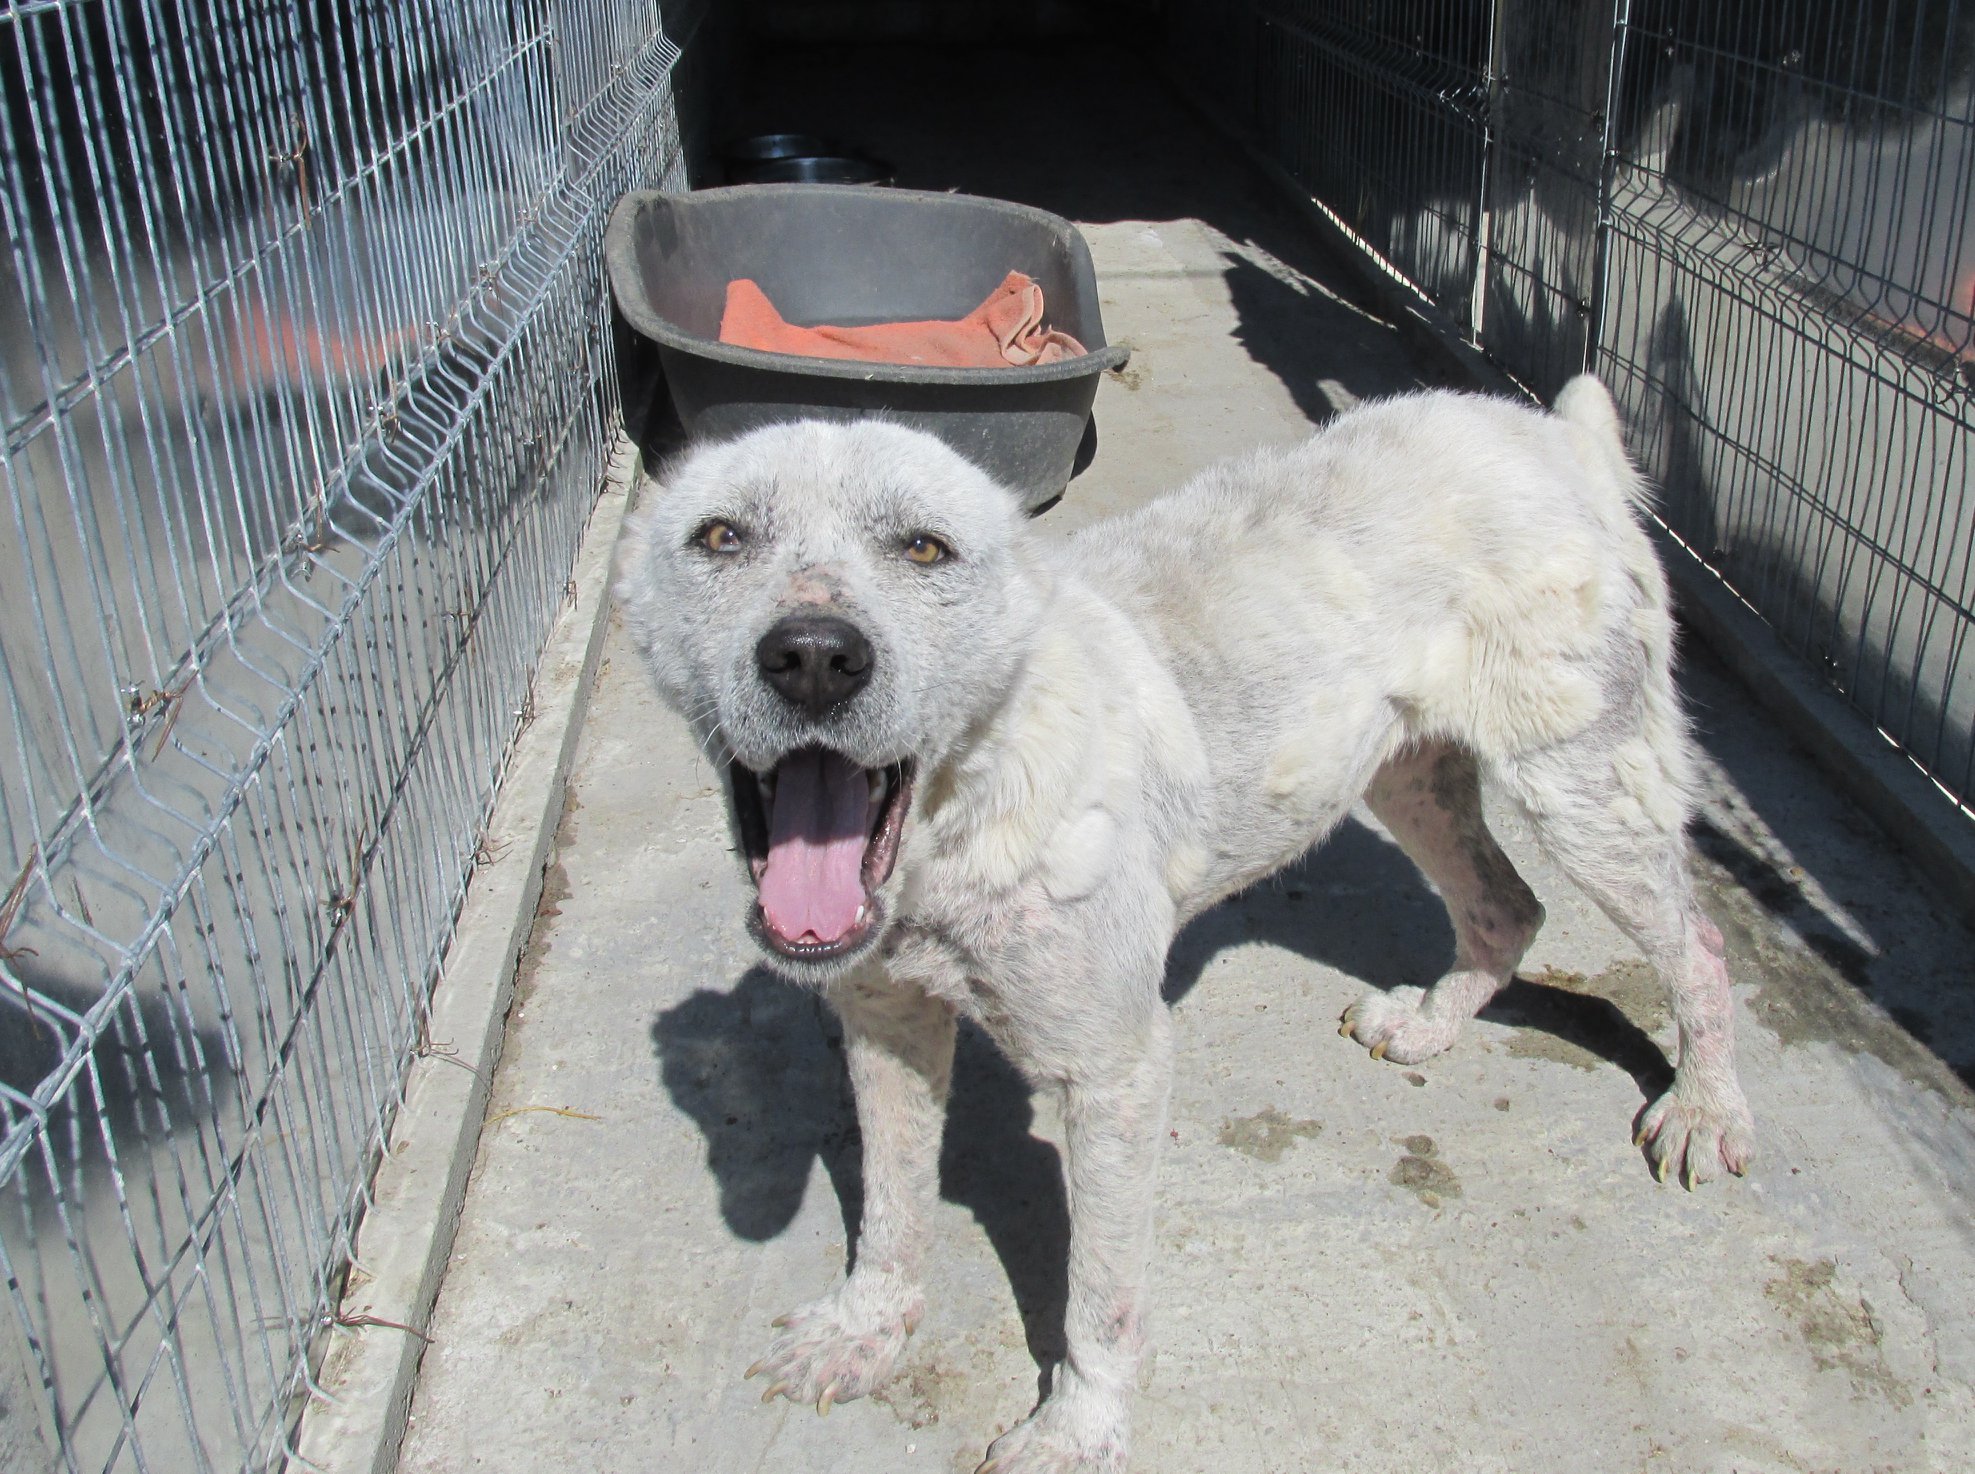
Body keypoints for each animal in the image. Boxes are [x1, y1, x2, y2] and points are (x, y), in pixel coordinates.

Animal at [614, 377, 1754, 1472]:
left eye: (923, 546)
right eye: (720, 536)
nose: (813, 655)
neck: (964, 808)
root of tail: (1553, 433)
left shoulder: (1114, 1072)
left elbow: (1098, 1297)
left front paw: (1077, 1433)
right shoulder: (886, 1023)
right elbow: (891, 1209)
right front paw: (865, 1328)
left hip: (1585, 789)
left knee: (1694, 944)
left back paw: (1706, 1107)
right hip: (1406, 773)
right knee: (1506, 904)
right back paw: (1432, 1022)